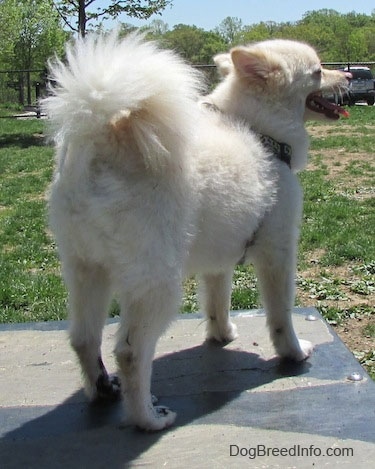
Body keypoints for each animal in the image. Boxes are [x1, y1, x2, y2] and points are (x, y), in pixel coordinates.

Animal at [42, 32, 352, 428]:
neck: (260, 131)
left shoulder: (219, 257)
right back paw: (147, 418)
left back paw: (103, 390)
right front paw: (294, 353)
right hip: (157, 283)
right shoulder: (278, 252)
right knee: (129, 352)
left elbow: (217, 303)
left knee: (83, 338)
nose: (349, 74)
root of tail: (102, 136)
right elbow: (281, 315)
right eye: (317, 72)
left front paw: (223, 335)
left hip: (86, 270)